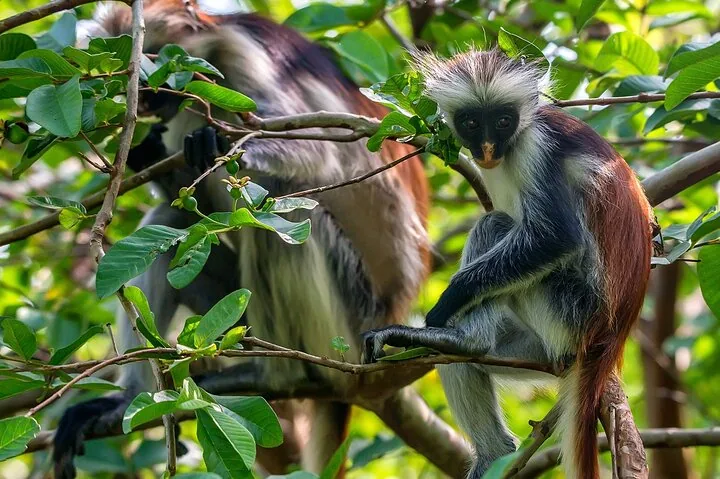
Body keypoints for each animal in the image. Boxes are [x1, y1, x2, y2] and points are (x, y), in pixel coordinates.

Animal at [52, 2, 430, 478]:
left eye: (159, 64)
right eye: (135, 79)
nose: (149, 99)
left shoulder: (242, 55)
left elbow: (316, 152)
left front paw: (216, 144)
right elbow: (185, 199)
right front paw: (144, 152)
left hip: (350, 317)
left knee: (284, 210)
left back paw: (270, 378)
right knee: (172, 222)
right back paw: (132, 397)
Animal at [362, 49, 653, 479]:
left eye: (503, 121)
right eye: (471, 122)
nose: (485, 149)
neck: (514, 143)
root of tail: (608, 339)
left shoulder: (538, 147)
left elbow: (556, 238)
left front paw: (449, 300)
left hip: (568, 310)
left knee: (495, 226)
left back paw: (463, 339)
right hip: (537, 350)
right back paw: (492, 449)